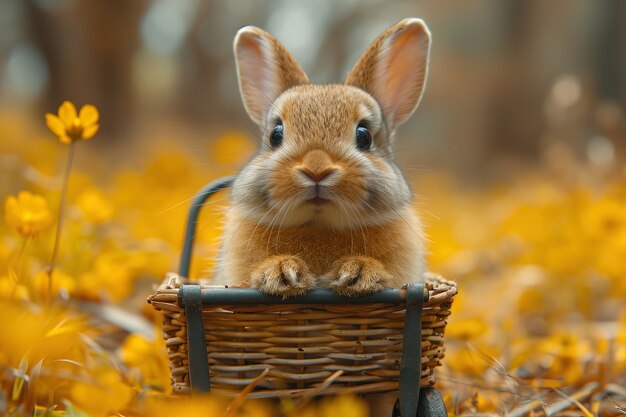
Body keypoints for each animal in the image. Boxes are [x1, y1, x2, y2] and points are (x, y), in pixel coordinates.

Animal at [213, 17, 428, 296]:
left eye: (364, 136)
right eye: (276, 134)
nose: (317, 169)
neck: (320, 225)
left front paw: (358, 273)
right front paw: (281, 272)